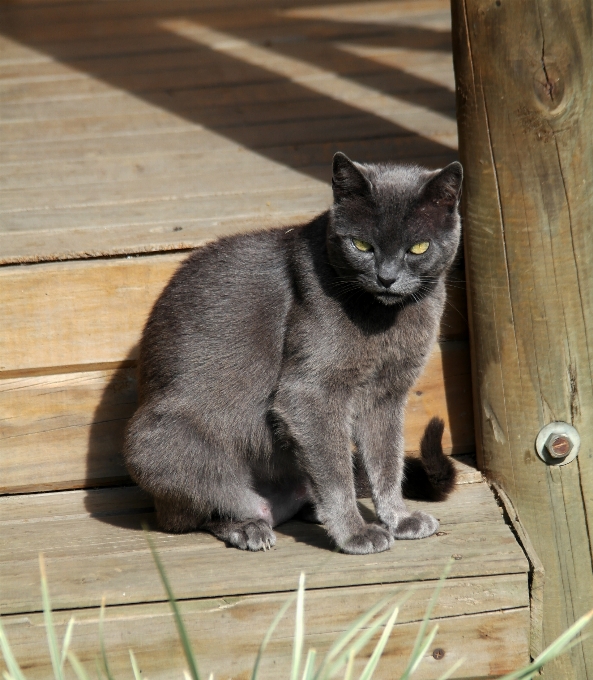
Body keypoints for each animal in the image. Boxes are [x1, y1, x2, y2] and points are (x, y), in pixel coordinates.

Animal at [123, 153, 462, 552]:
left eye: (419, 248)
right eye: (362, 245)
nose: (387, 277)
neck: (387, 319)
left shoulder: (387, 395)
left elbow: (387, 463)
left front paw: (399, 519)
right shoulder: (309, 393)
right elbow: (335, 474)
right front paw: (356, 533)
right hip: (157, 444)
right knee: (205, 510)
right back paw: (249, 528)